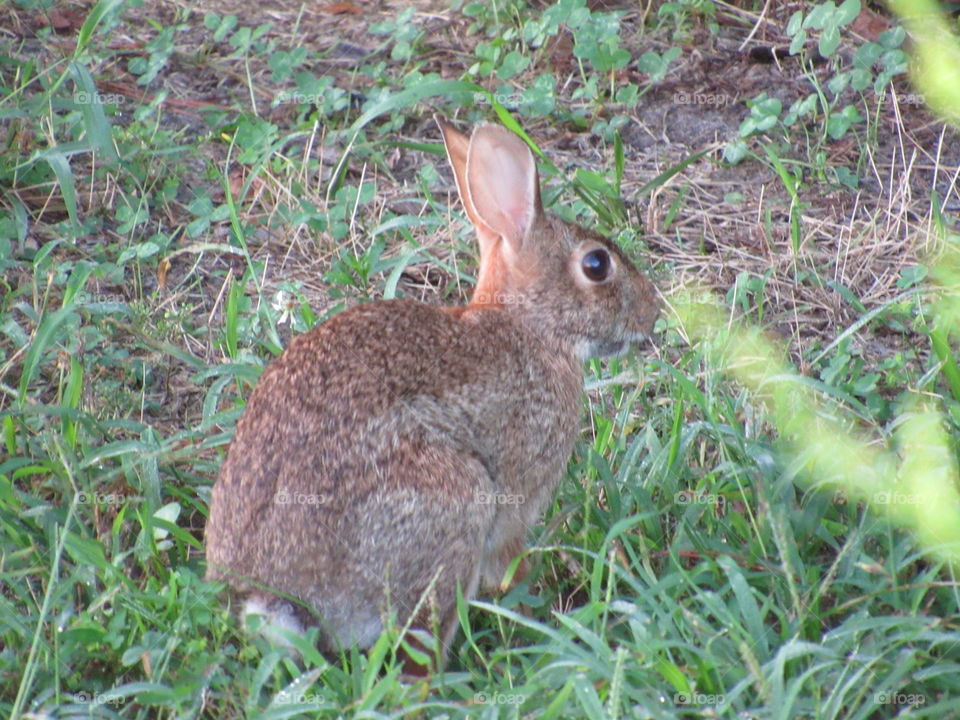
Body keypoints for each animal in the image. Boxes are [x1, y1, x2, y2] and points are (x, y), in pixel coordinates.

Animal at [204, 118, 659, 673]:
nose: (653, 312)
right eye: (596, 265)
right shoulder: (516, 498)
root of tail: (277, 600)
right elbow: (509, 563)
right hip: (452, 502)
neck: (526, 323)